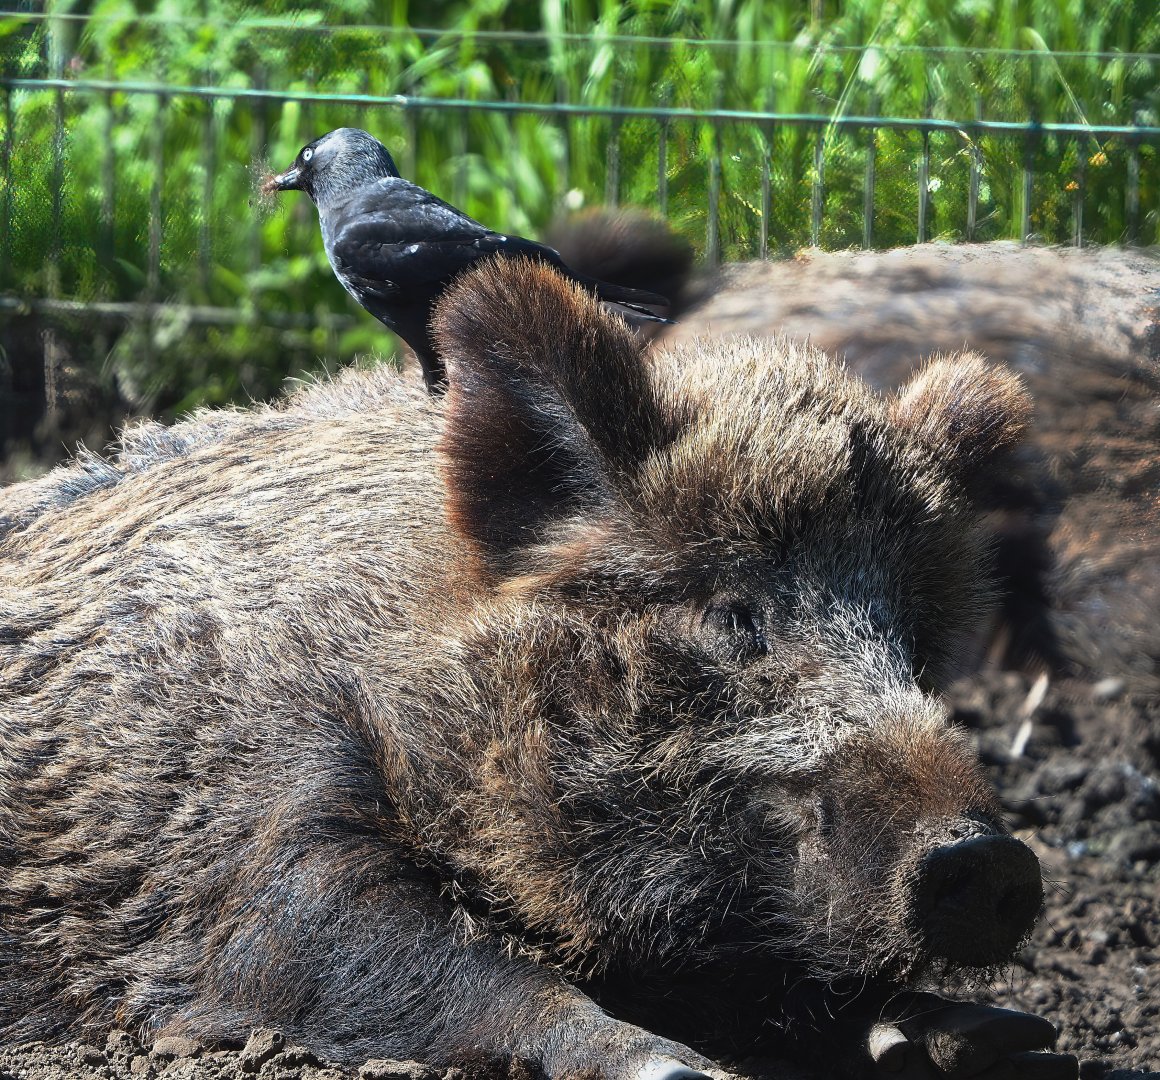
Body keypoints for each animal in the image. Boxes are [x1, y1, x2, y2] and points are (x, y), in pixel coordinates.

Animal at [0, 258, 1077, 1080]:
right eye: (734, 614)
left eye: (916, 642)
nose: (988, 859)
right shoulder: (251, 837)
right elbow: (371, 951)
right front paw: (673, 1070)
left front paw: (998, 1038)